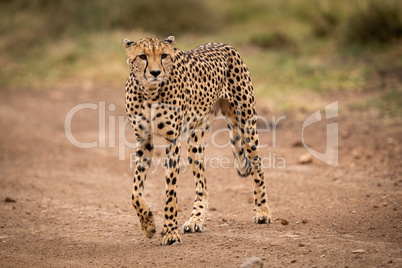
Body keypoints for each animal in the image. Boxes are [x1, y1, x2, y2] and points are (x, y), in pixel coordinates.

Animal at [122, 36, 272, 246]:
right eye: (142, 56)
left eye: (164, 55)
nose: (155, 72)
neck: (150, 91)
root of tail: (223, 44)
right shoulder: (144, 140)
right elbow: (135, 192)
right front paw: (149, 225)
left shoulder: (172, 140)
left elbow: (170, 192)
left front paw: (170, 232)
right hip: (195, 141)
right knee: (203, 185)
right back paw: (196, 220)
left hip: (247, 125)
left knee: (258, 168)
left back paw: (262, 210)